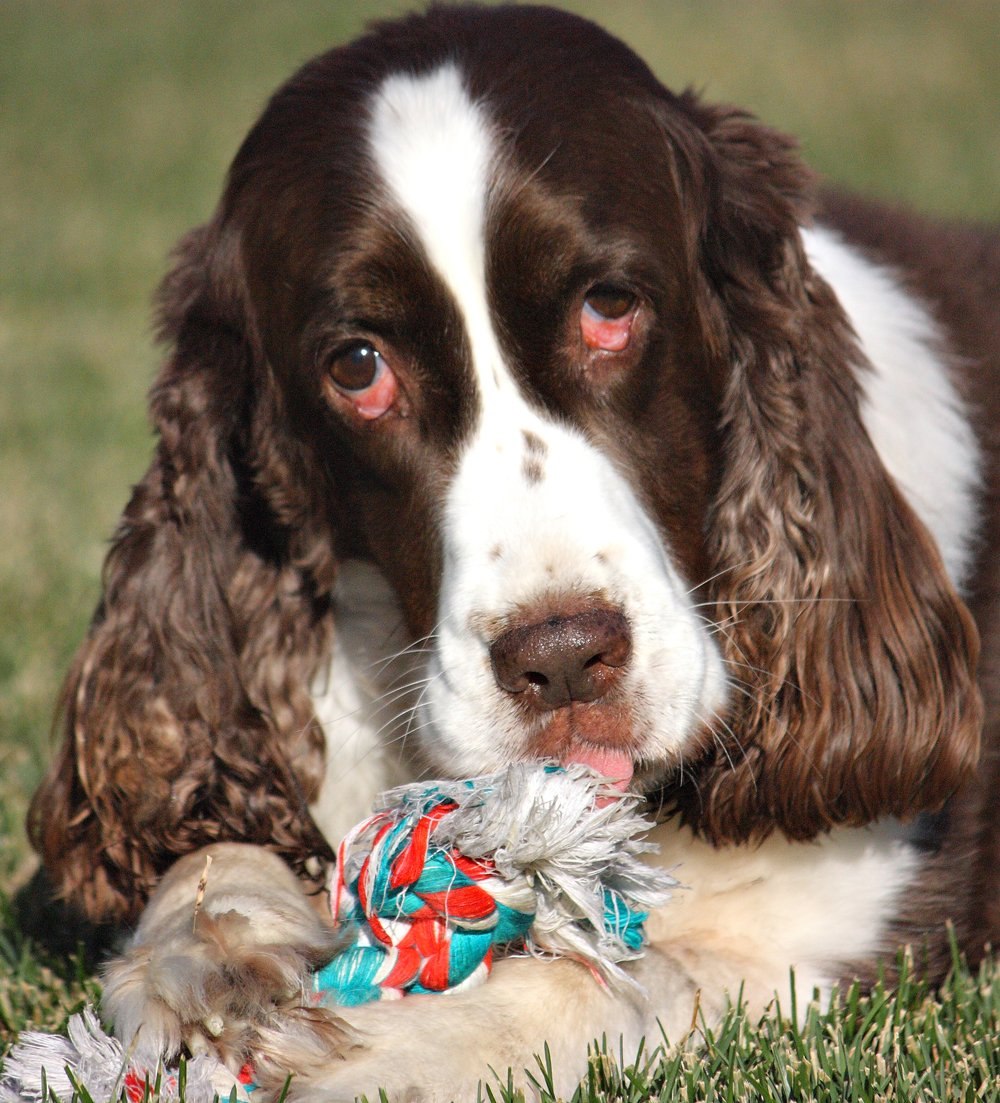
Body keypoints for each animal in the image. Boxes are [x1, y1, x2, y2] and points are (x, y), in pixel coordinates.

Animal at [27, 4, 996, 1098]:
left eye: (609, 306)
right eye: (357, 366)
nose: (566, 657)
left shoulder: (824, 943)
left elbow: (609, 973)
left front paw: (363, 1054)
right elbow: (209, 846)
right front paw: (212, 965)